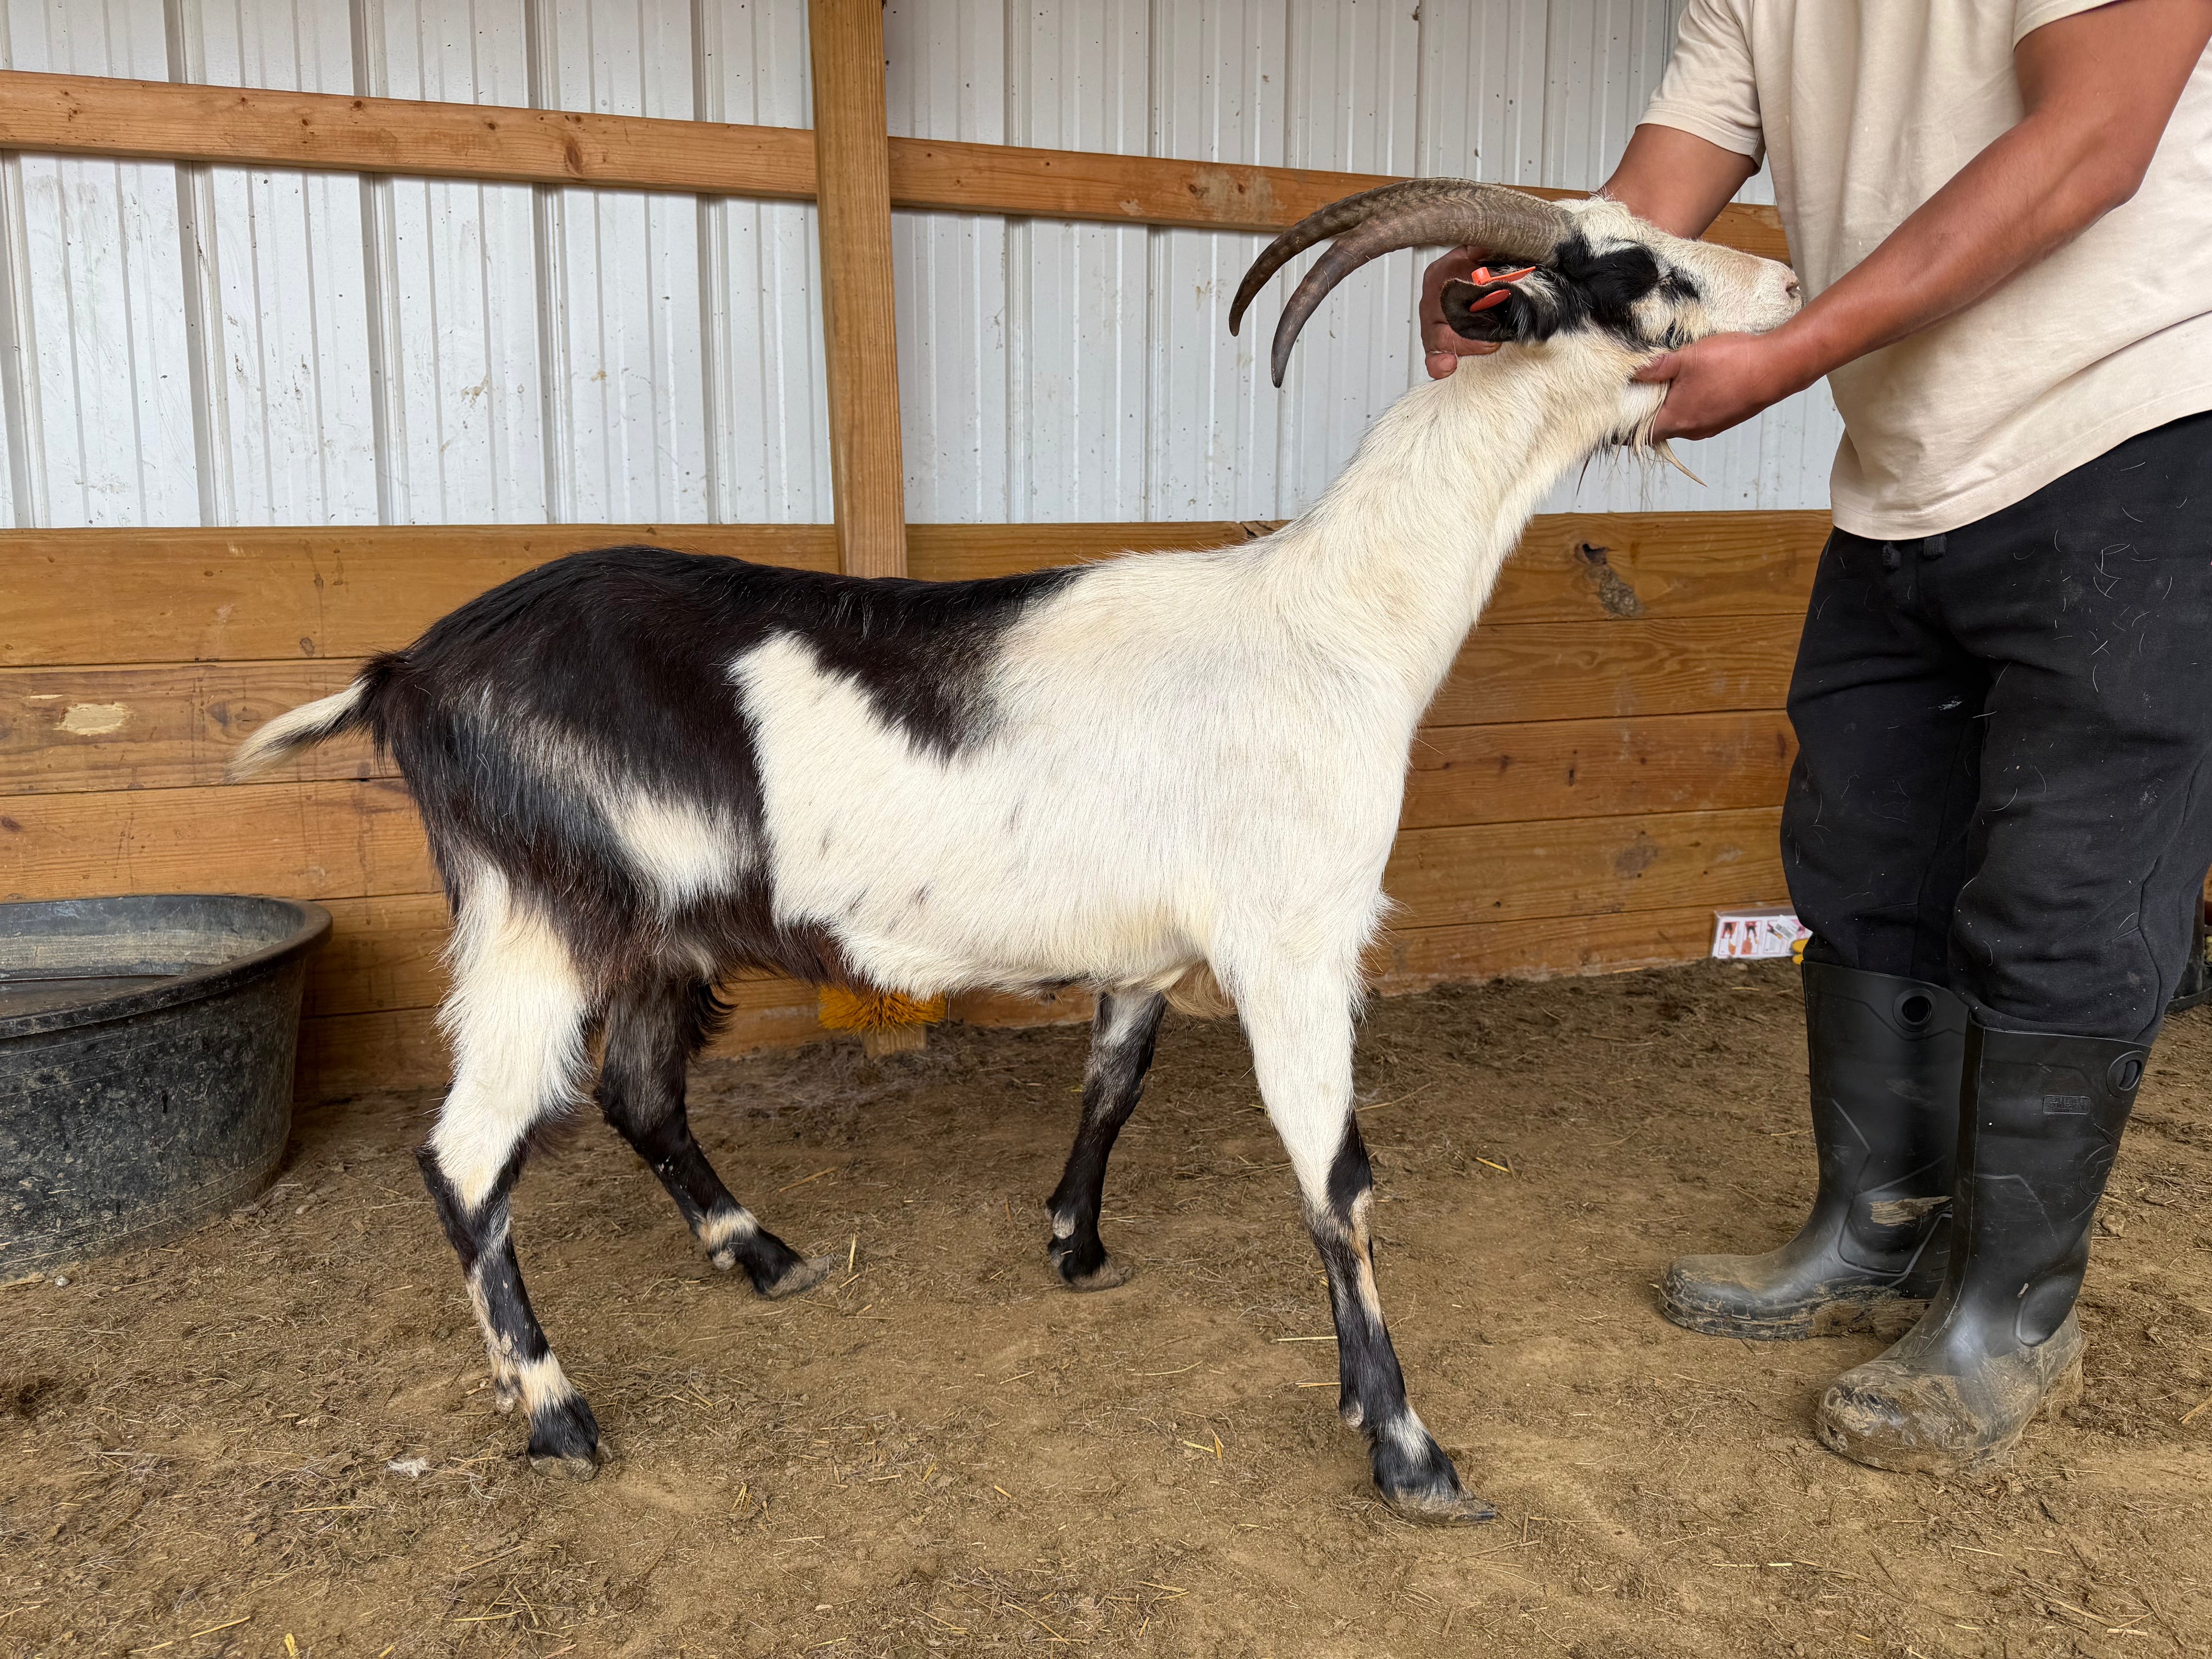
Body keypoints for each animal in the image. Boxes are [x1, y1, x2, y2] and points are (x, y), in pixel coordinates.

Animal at [230, 181, 1800, 1521]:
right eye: (1639, 270)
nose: (1787, 280)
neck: (1336, 618)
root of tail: (408, 672)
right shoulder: (1295, 940)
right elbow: (1336, 1181)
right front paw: (1408, 1446)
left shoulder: (1147, 956)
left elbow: (1113, 1085)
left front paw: (1074, 1245)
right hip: (539, 914)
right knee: (466, 1155)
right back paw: (558, 1410)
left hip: (656, 932)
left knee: (636, 1091)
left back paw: (764, 1256)